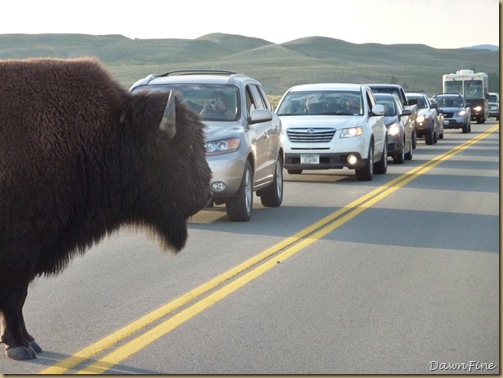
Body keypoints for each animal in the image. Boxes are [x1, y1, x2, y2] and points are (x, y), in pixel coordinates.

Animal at [0, 56, 213, 360]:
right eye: (185, 149)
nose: (206, 192)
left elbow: (19, 300)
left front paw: (29, 341)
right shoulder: (20, 251)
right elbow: (15, 298)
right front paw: (19, 346)